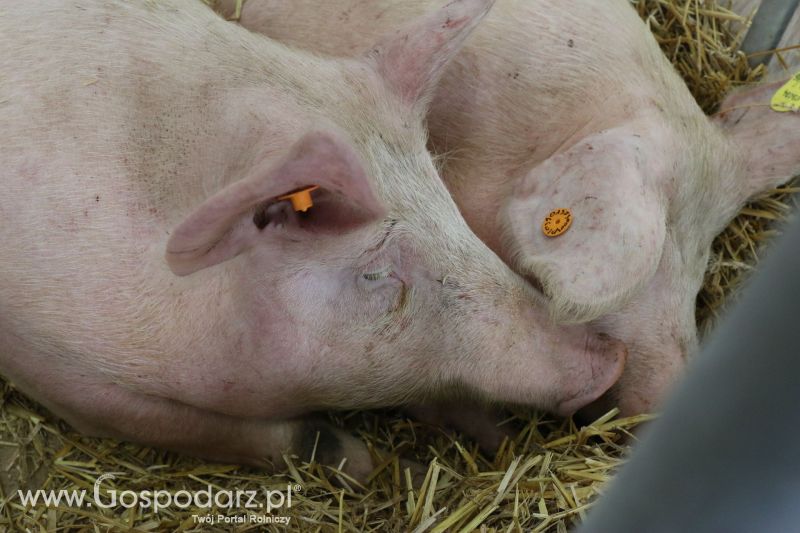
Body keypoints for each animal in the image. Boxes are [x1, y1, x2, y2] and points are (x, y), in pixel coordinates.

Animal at [0, 0, 628, 476]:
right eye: (375, 273)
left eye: (446, 200)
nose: (609, 358)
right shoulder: (65, 374)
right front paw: (378, 462)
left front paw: (489, 435)